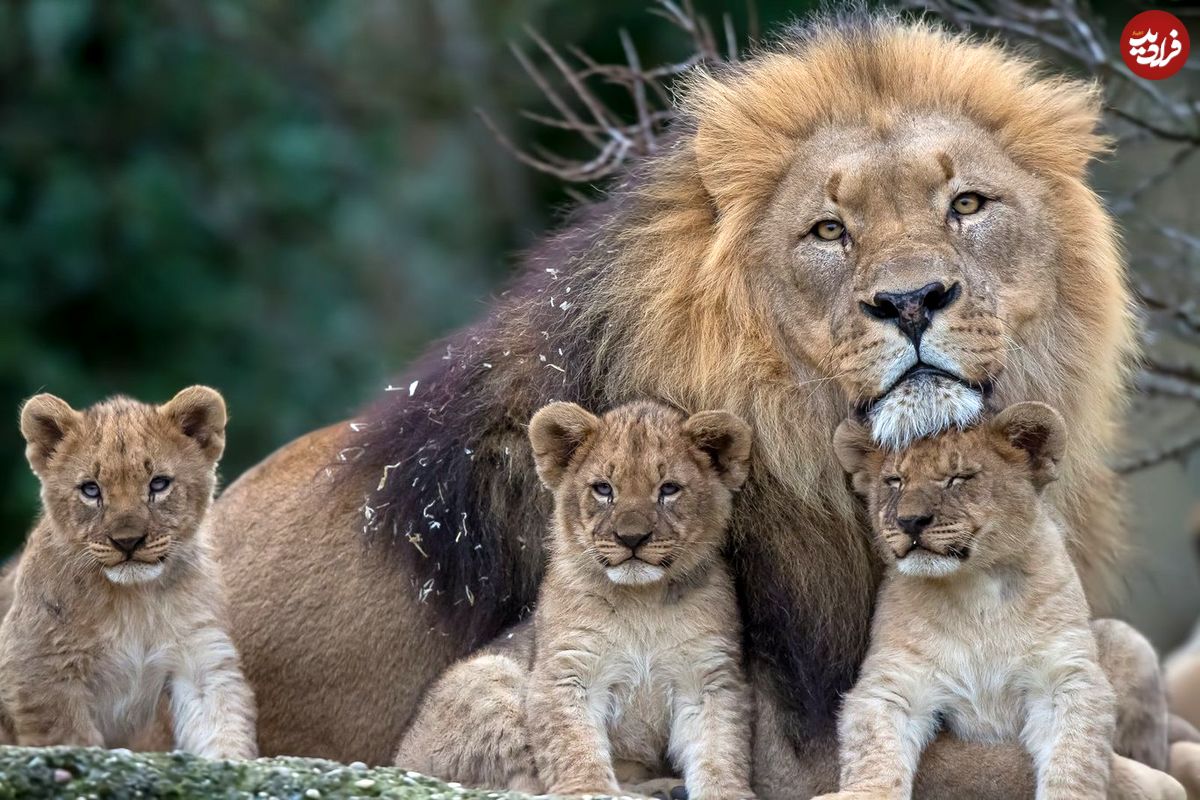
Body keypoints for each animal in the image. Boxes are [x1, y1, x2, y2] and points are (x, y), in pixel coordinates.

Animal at [213, 14, 1142, 800]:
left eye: (968, 205)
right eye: (829, 231)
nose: (911, 301)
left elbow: (1123, 664)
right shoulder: (800, 738)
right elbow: (1092, 770)